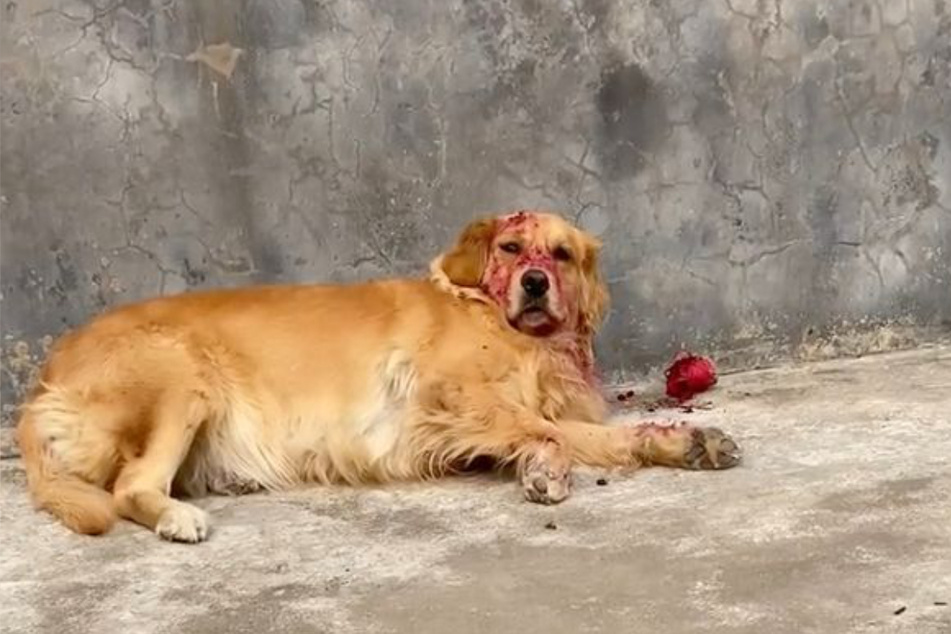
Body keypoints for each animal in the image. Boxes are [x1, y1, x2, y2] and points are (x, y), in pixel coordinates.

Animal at [16, 210, 744, 540]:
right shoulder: (448, 398)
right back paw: (177, 515)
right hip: (182, 376)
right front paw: (552, 466)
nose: (536, 281)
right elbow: (551, 432)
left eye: (560, 254)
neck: (500, 321)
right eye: (511, 247)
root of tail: (42, 381)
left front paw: (678, 442)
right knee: (131, 486)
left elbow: (576, 437)